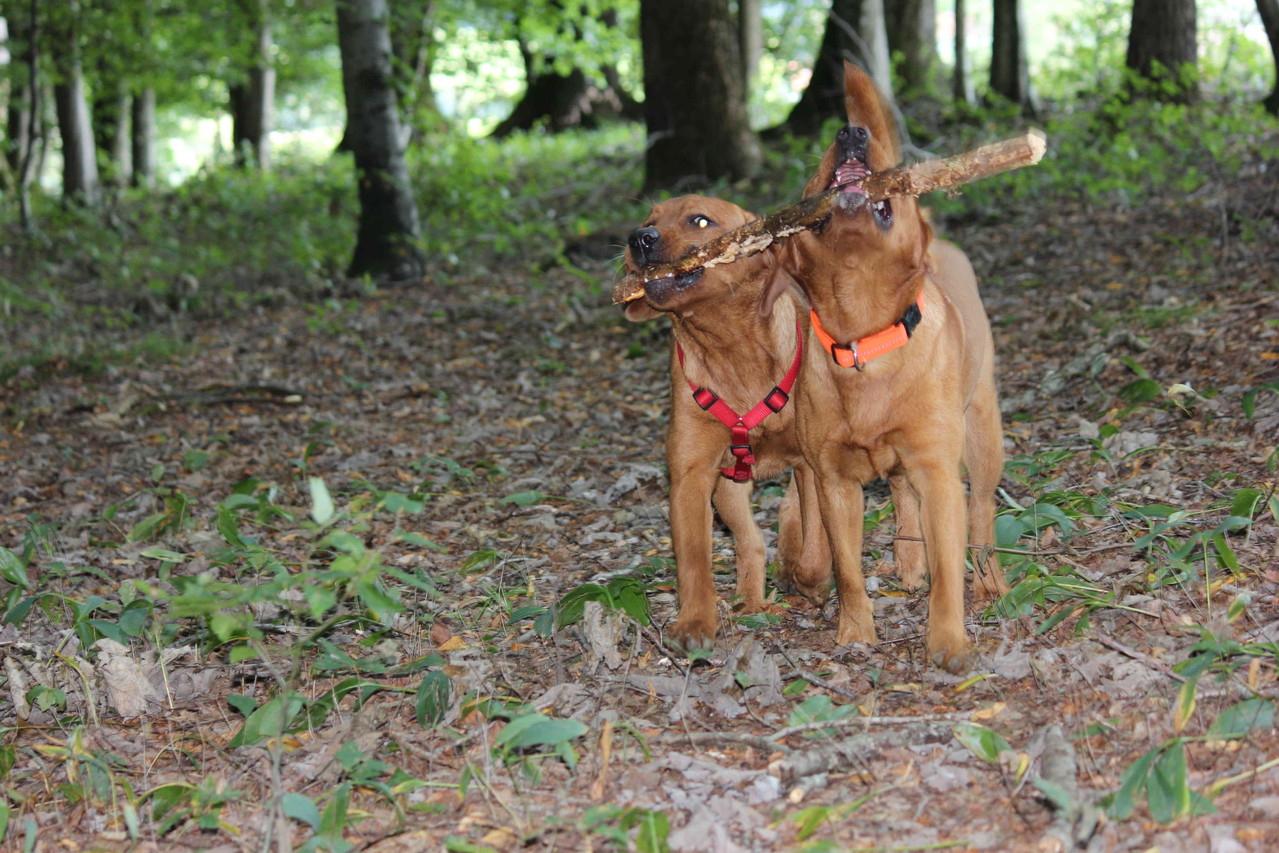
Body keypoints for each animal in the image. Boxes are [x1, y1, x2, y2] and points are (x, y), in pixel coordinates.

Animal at [626, 195, 828, 647]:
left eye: (700, 221)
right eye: (648, 219)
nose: (639, 238)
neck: (730, 349)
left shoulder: (811, 464)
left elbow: (815, 545)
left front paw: (809, 579)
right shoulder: (692, 476)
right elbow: (693, 559)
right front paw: (695, 622)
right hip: (729, 488)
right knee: (751, 539)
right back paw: (752, 601)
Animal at [772, 63, 1012, 670]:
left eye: (871, 146)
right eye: (818, 166)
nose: (851, 132)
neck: (865, 340)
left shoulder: (939, 472)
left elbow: (950, 568)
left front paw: (947, 640)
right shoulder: (834, 483)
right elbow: (847, 571)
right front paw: (856, 633)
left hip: (982, 435)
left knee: (981, 518)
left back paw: (991, 580)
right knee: (903, 497)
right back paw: (907, 561)